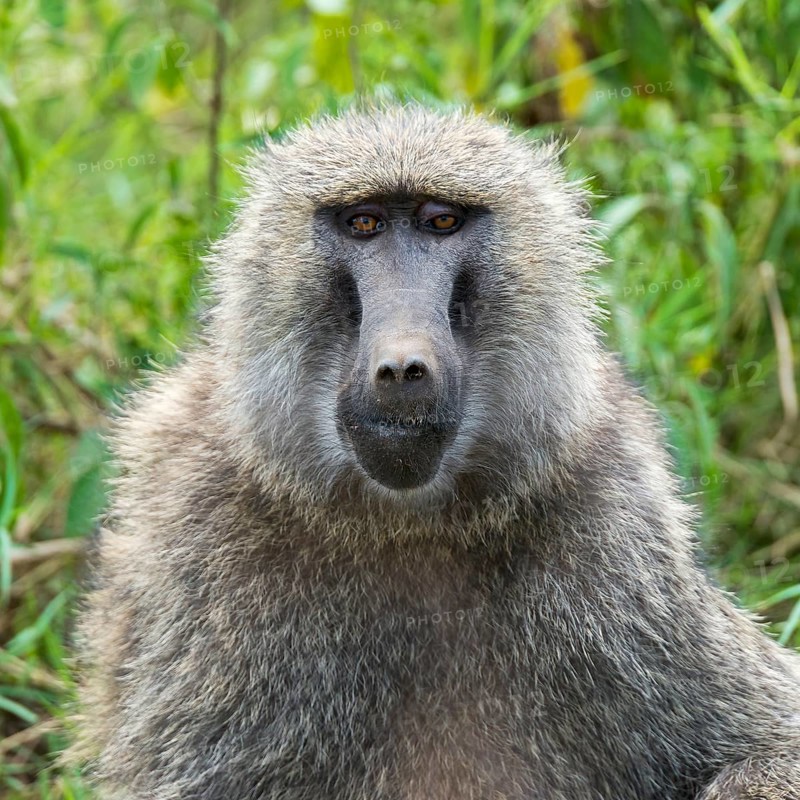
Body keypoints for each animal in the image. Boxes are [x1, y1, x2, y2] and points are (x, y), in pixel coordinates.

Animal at [73, 105, 800, 800]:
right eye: (364, 224)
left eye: (441, 222)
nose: (402, 368)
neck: (405, 522)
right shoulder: (193, 522)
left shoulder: (618, 520)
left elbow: (767, 747)